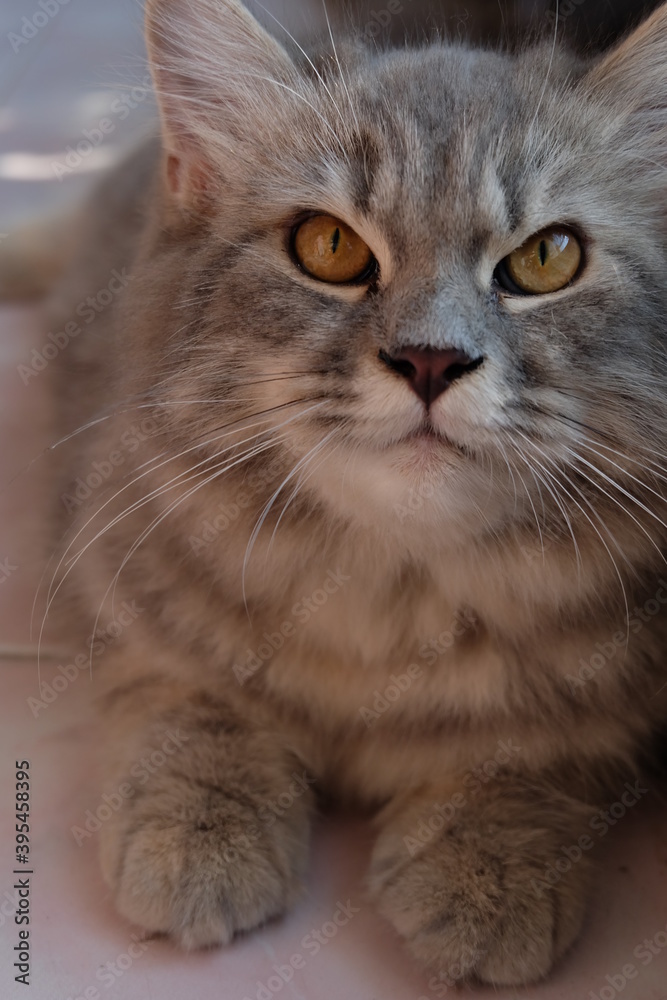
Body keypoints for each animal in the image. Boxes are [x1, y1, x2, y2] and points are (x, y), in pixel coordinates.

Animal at [47, 0, 667, 984]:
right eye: (329, 247)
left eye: (546, 257)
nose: (430, 361)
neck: (390, 602)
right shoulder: (125, 575)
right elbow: (189, 699)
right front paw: (201, 829)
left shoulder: (617, 697)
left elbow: (532, 752)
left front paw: (487, 861)